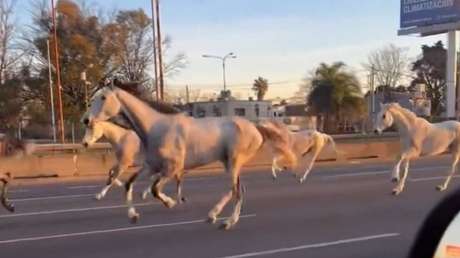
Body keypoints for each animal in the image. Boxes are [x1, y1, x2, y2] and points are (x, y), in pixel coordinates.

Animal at [84, 86, 296, 230]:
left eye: (103, 97)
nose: (86, 119)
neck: (155, 128)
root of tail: (256, 128)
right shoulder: (150, 166)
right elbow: (130, 183)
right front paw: (133, 215)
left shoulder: (171, 168)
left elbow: (155, 189)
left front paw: (170, 202)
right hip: (228, 163)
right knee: (236, 189)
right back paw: (213, 215)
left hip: (235, 162)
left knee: (237, 190)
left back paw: (227, 222)